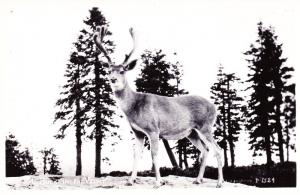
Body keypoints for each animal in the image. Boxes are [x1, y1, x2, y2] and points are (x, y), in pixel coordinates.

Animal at [94, 26, 223, 187]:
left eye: (122, 71)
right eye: (109, 71)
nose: (113, 79)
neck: (134, 107)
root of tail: (214, 107)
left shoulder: (153, 129)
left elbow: (154, 155)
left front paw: (158, 182)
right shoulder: (138, 132)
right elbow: (136, 155)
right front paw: (130, 180)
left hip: (205, 126)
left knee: (218, 149)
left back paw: (219, 182)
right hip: (192, 132)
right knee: (205, 149)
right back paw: (198, 180)